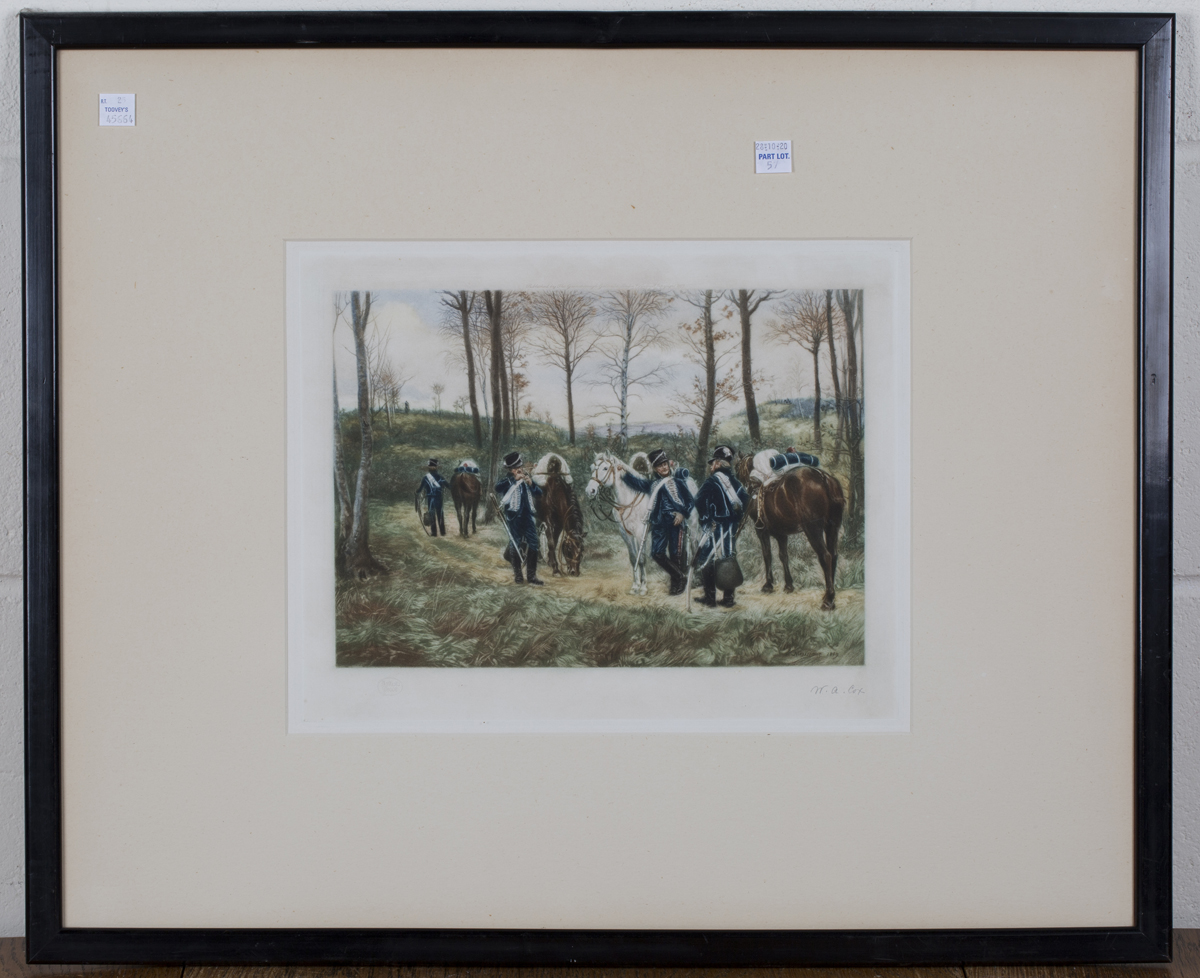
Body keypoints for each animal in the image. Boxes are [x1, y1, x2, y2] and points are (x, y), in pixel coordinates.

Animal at [729, 456, 844, 607]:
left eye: (737, 466)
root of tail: (823, 477)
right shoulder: (781, 535)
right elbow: (783, 556)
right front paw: (789, 585)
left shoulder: (761, 531)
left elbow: (767, 555)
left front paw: (768, 585)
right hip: (832, 528)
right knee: (834, 555)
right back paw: (830, 594)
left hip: (813, 530)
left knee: (826, 556)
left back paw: (828, 599)